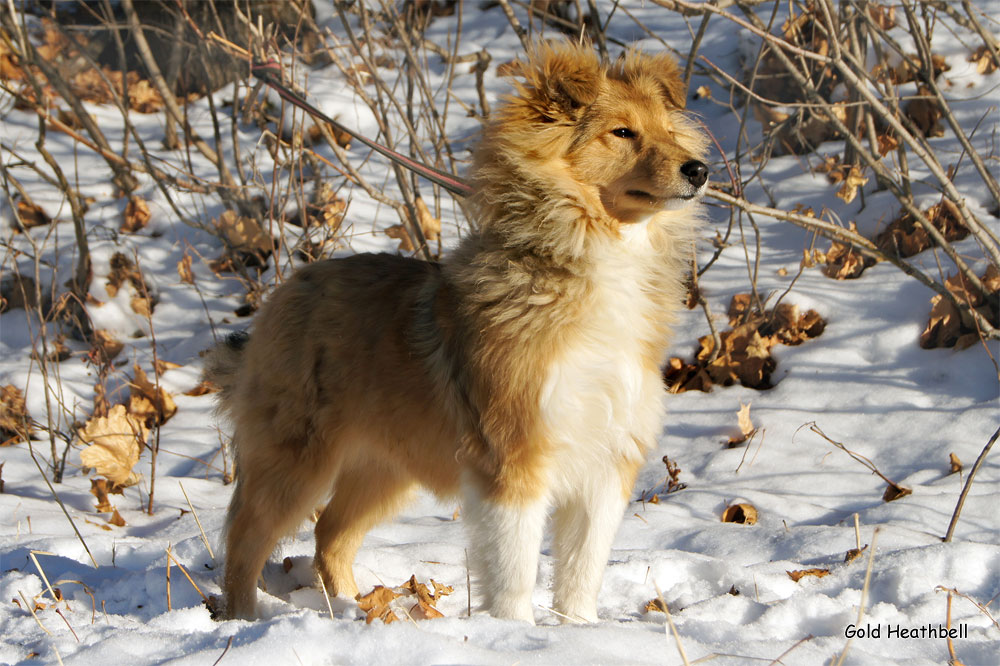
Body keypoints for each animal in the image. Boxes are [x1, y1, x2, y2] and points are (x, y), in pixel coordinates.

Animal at [207, 41, 712, 624]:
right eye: (623, 132)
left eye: (669, 131)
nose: (699, 170)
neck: (592, 261)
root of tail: (286, 290)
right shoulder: (512, 455)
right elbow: (514, 568)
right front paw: (516, 631)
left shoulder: (606, 462)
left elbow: (582, 572)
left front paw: (575, 630)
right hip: (294, 458)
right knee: (246, 539)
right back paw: (244, 618)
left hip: (384, 466)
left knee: (330, 534)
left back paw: (354, 608)